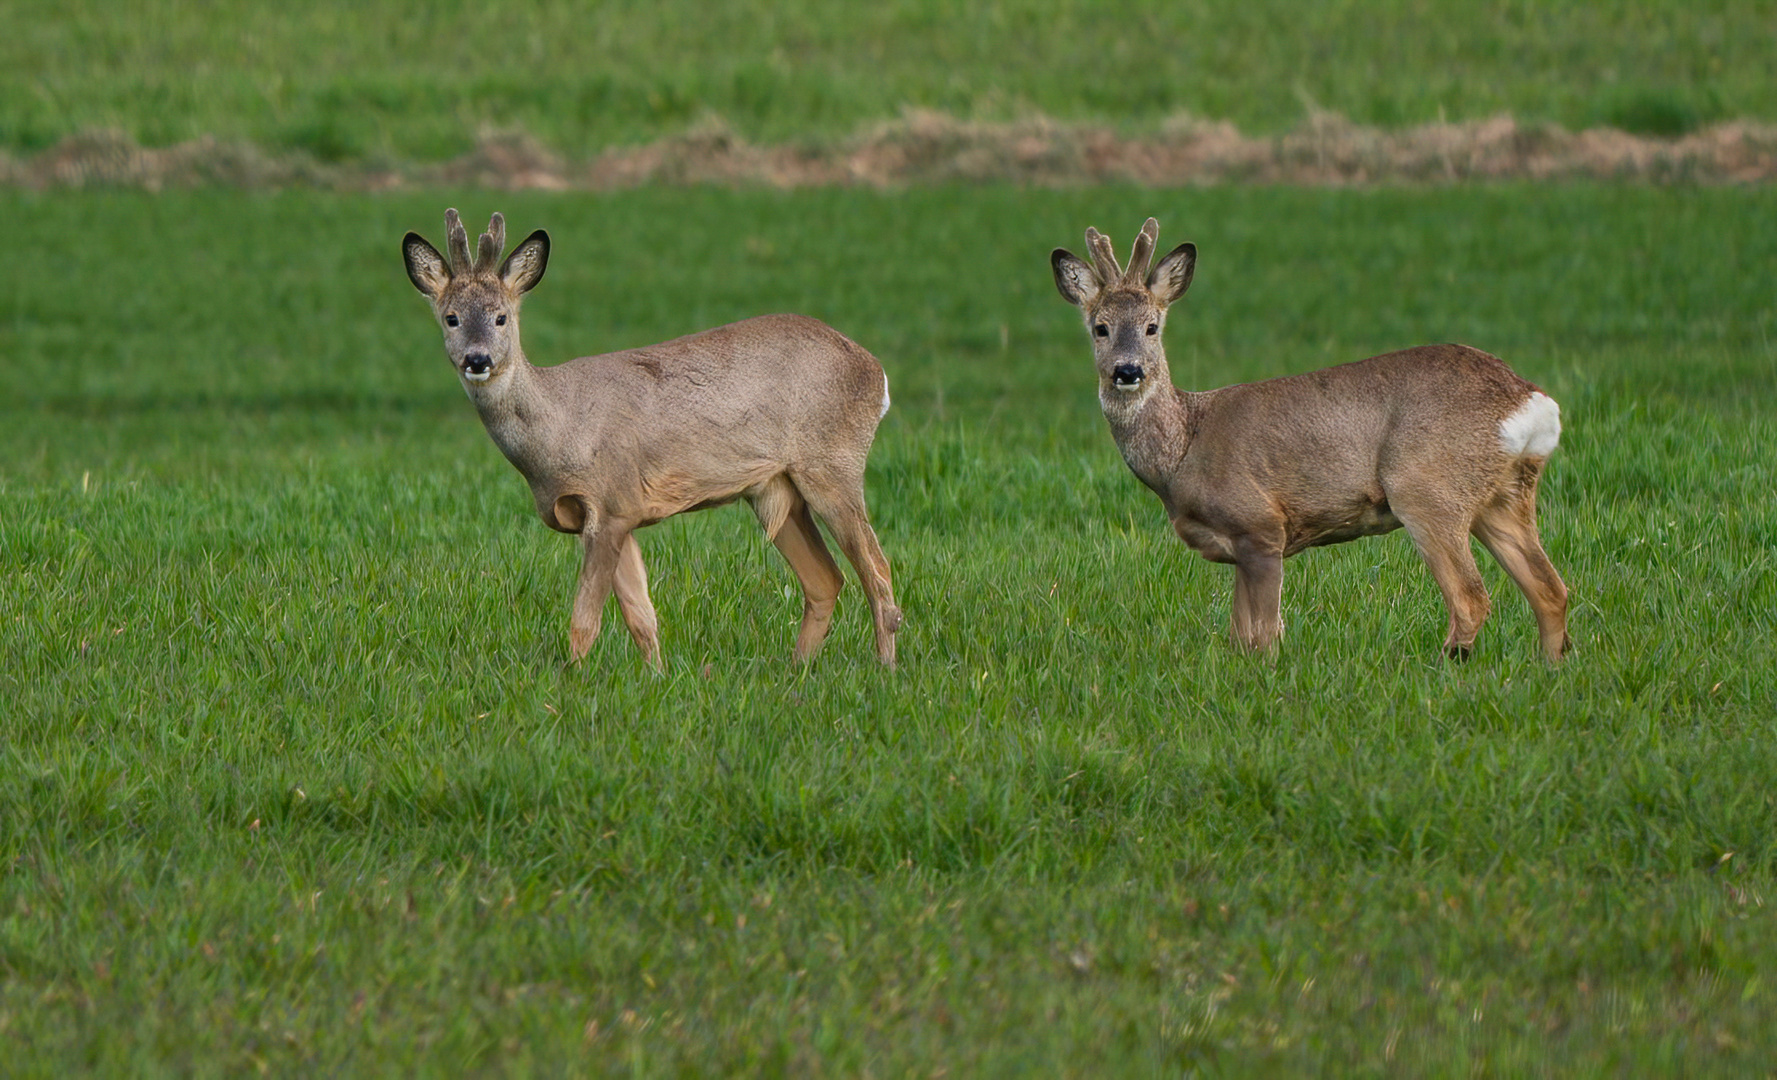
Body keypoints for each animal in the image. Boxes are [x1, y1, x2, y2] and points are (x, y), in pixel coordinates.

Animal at [403, 206, 902, 671]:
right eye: (451, 318)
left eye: (501, 317)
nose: (478, 359)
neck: (559, 431)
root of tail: (876, 372)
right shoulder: (617, 511)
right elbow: (642, 616)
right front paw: (656, 678)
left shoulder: (611, 501)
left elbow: (585, 619)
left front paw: (571, 682)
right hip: (773, 489)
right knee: (825, 580)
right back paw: (798, 669)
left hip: (832, 463)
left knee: (878, 571)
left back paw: (885, 668)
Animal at [1051, 215, 1570, 660]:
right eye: (1100, 328)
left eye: (1151, 326)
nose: (1128, 371)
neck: (1182, 449)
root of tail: (1530, 399)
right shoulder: (1241, 547)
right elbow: (1240, 637)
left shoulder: (1260, 526)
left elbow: (1263, 637)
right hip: (1501, 496)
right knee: (1551, 589)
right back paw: (1550, 667)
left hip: (1426, 486)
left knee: (1472, 597)